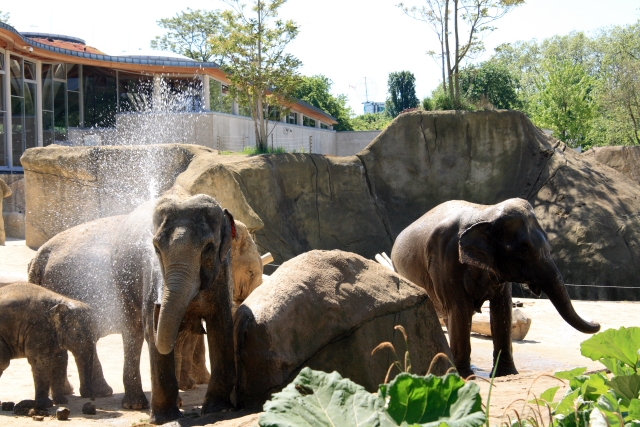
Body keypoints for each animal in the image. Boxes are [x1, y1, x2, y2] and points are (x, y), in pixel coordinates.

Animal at [390, 198, 600, 378]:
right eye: (523, 249)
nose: (597, 323)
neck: (486, 212)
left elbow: (502, 309)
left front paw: (506, 374)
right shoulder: (445, 259)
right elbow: (460, 309)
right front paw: (465, 376)